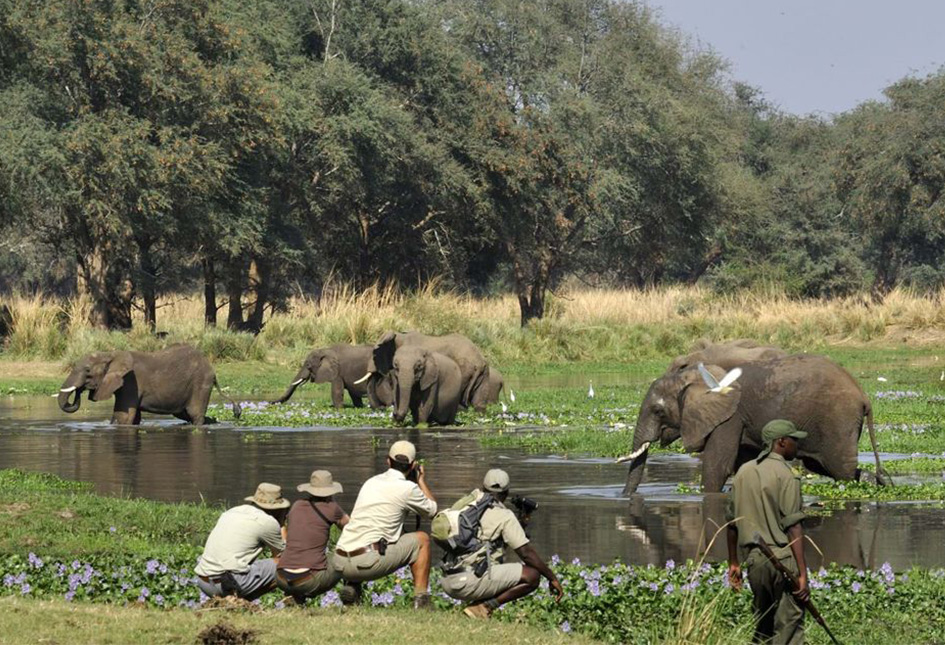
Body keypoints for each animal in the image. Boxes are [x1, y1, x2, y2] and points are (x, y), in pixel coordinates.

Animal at [57, 344, 242, 426]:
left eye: (87, 370)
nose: (79, 391)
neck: (111, 354)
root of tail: (212, 370)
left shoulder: (131, 383)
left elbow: (122, 418)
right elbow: (133, 418)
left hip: (201, 383)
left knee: (195, 415)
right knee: (185, 415)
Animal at [620, 354, 884, 496]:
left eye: (658, 411)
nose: (624, 497)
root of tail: (864, 396)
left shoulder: (730, 417)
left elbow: (718, 466)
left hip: (838, 421)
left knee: (840, 469)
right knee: (825, 465)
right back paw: (874, 481)